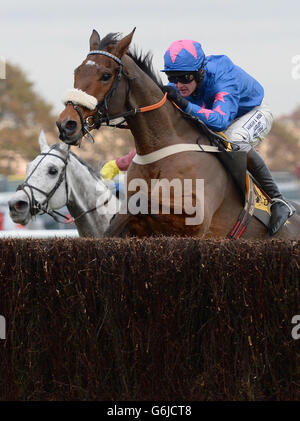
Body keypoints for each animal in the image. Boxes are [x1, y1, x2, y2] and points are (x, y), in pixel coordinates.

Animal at [56, 28, 300, 240]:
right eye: (77, 71)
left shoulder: (195, 217)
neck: (159, 148)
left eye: (106, 75)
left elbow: (140, 202)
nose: (66, 124)